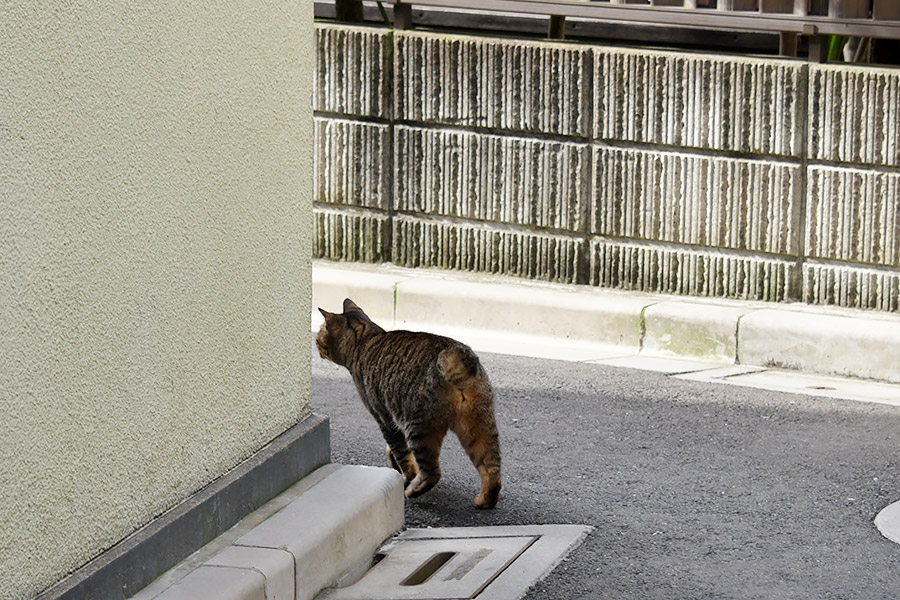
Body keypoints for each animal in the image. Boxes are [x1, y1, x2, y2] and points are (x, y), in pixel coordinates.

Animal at [314, 298, 500, 508]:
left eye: (319, 335)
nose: (315, 343)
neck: (366, 339)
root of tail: (454, 354)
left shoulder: (384, 417)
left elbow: (402, 455)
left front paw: (406, 477)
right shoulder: (394, 422)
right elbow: (395, 451)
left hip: (419, 429)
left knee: (432, 473)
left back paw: (412, 490)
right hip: (480, 426)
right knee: (492, 470)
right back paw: (484, 500)